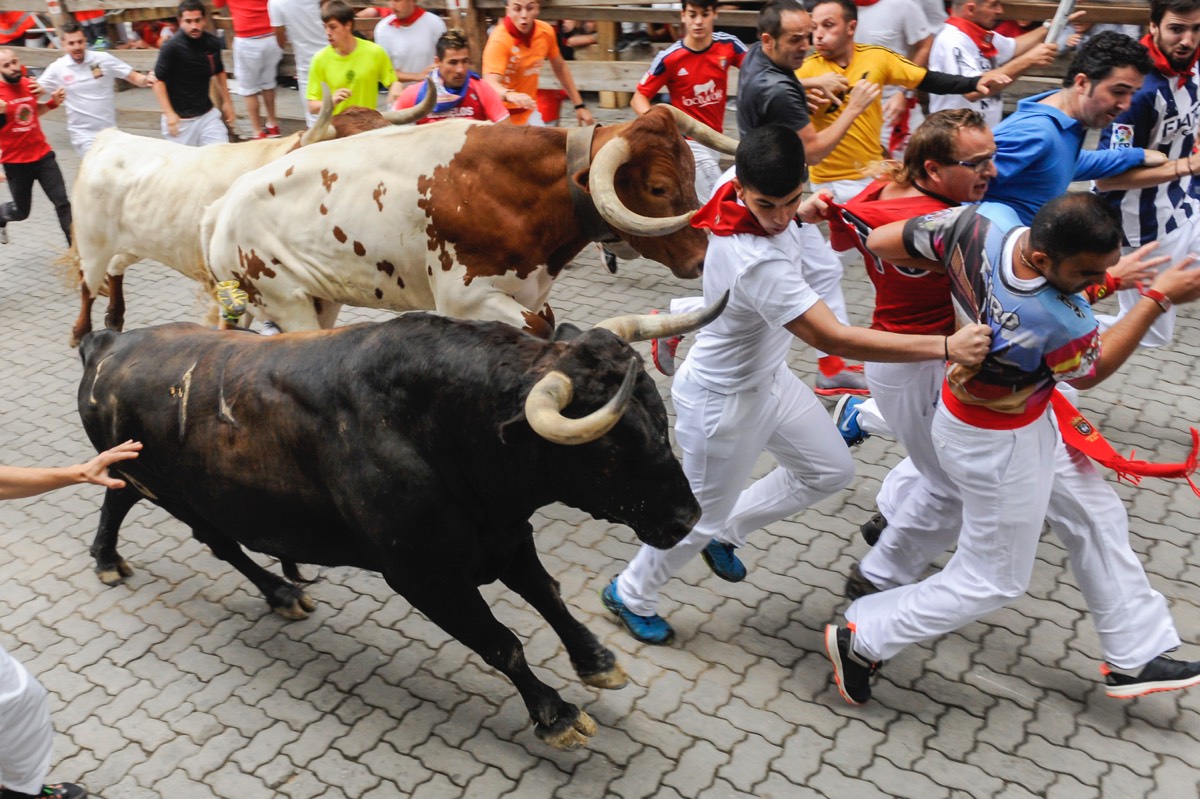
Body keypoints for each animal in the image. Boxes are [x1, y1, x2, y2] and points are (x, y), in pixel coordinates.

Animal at [75, 311, 705, 748]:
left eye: (659, 411)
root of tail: (108, 343)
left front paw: (597, 661)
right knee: (217, 541)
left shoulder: (505, 536)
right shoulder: (425, 576)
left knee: (117, 496)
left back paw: (111, 557)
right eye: (611, 448)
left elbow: (548, 596)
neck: (439, 423)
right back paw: (275, 590)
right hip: (177, 494)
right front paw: (556, 714)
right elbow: (502, 643)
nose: (688, 518)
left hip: (141, 474)